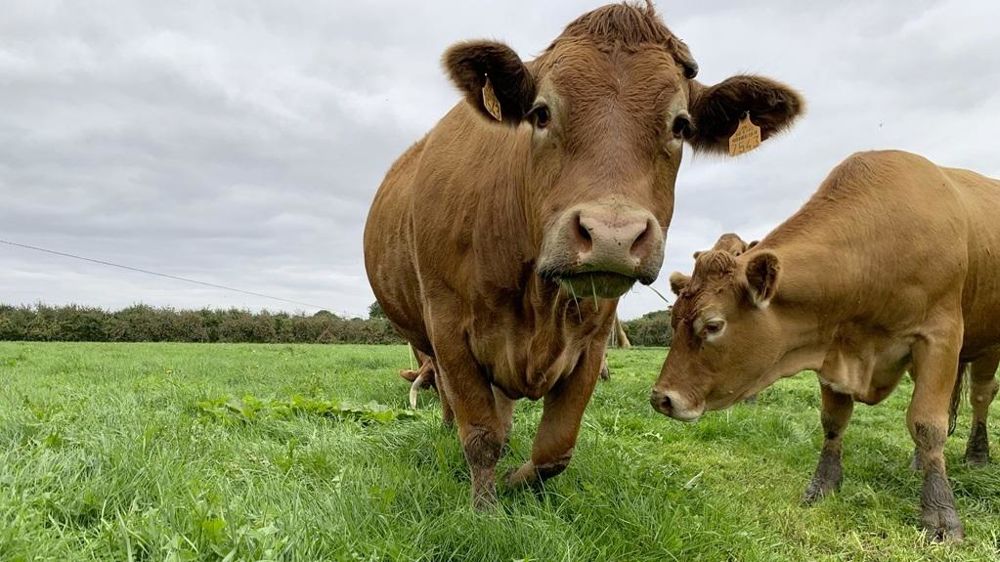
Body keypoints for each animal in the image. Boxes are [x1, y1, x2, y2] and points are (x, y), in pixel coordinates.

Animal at [365, 1, 803, 507]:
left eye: (681, 125)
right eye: (540, 113)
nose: (613, 236)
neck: (537, 295)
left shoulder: (593, 340)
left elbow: (554, 449)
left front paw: (514, 480)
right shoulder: (448, 326)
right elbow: (479, 434)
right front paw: (485, 507)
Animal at [651, 150, 1000, 540]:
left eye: (713, 325)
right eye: (673, 319)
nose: (662, 398)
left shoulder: (939, 338)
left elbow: (928, 424)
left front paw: (940, 512)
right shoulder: (833, 345)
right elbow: (834, 421)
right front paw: (823, 486)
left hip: (988, 347)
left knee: (981, 397)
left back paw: (977, 454)